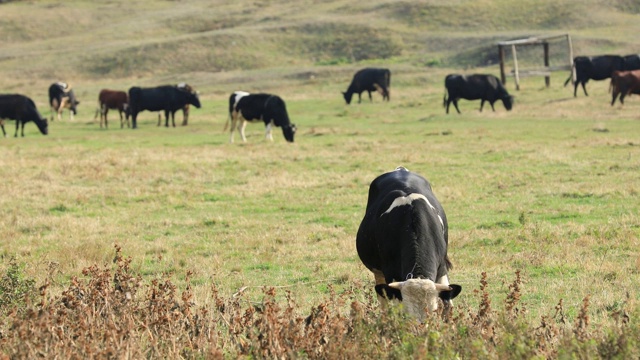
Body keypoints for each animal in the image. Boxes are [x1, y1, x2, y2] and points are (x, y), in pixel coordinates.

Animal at [356, 167, 460, 322]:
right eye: (406, 314)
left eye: (433, 312)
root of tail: (400, 170)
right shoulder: (390, 273)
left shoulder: (442, 267)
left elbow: (448, 304)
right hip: (378, 272)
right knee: (383, 300)